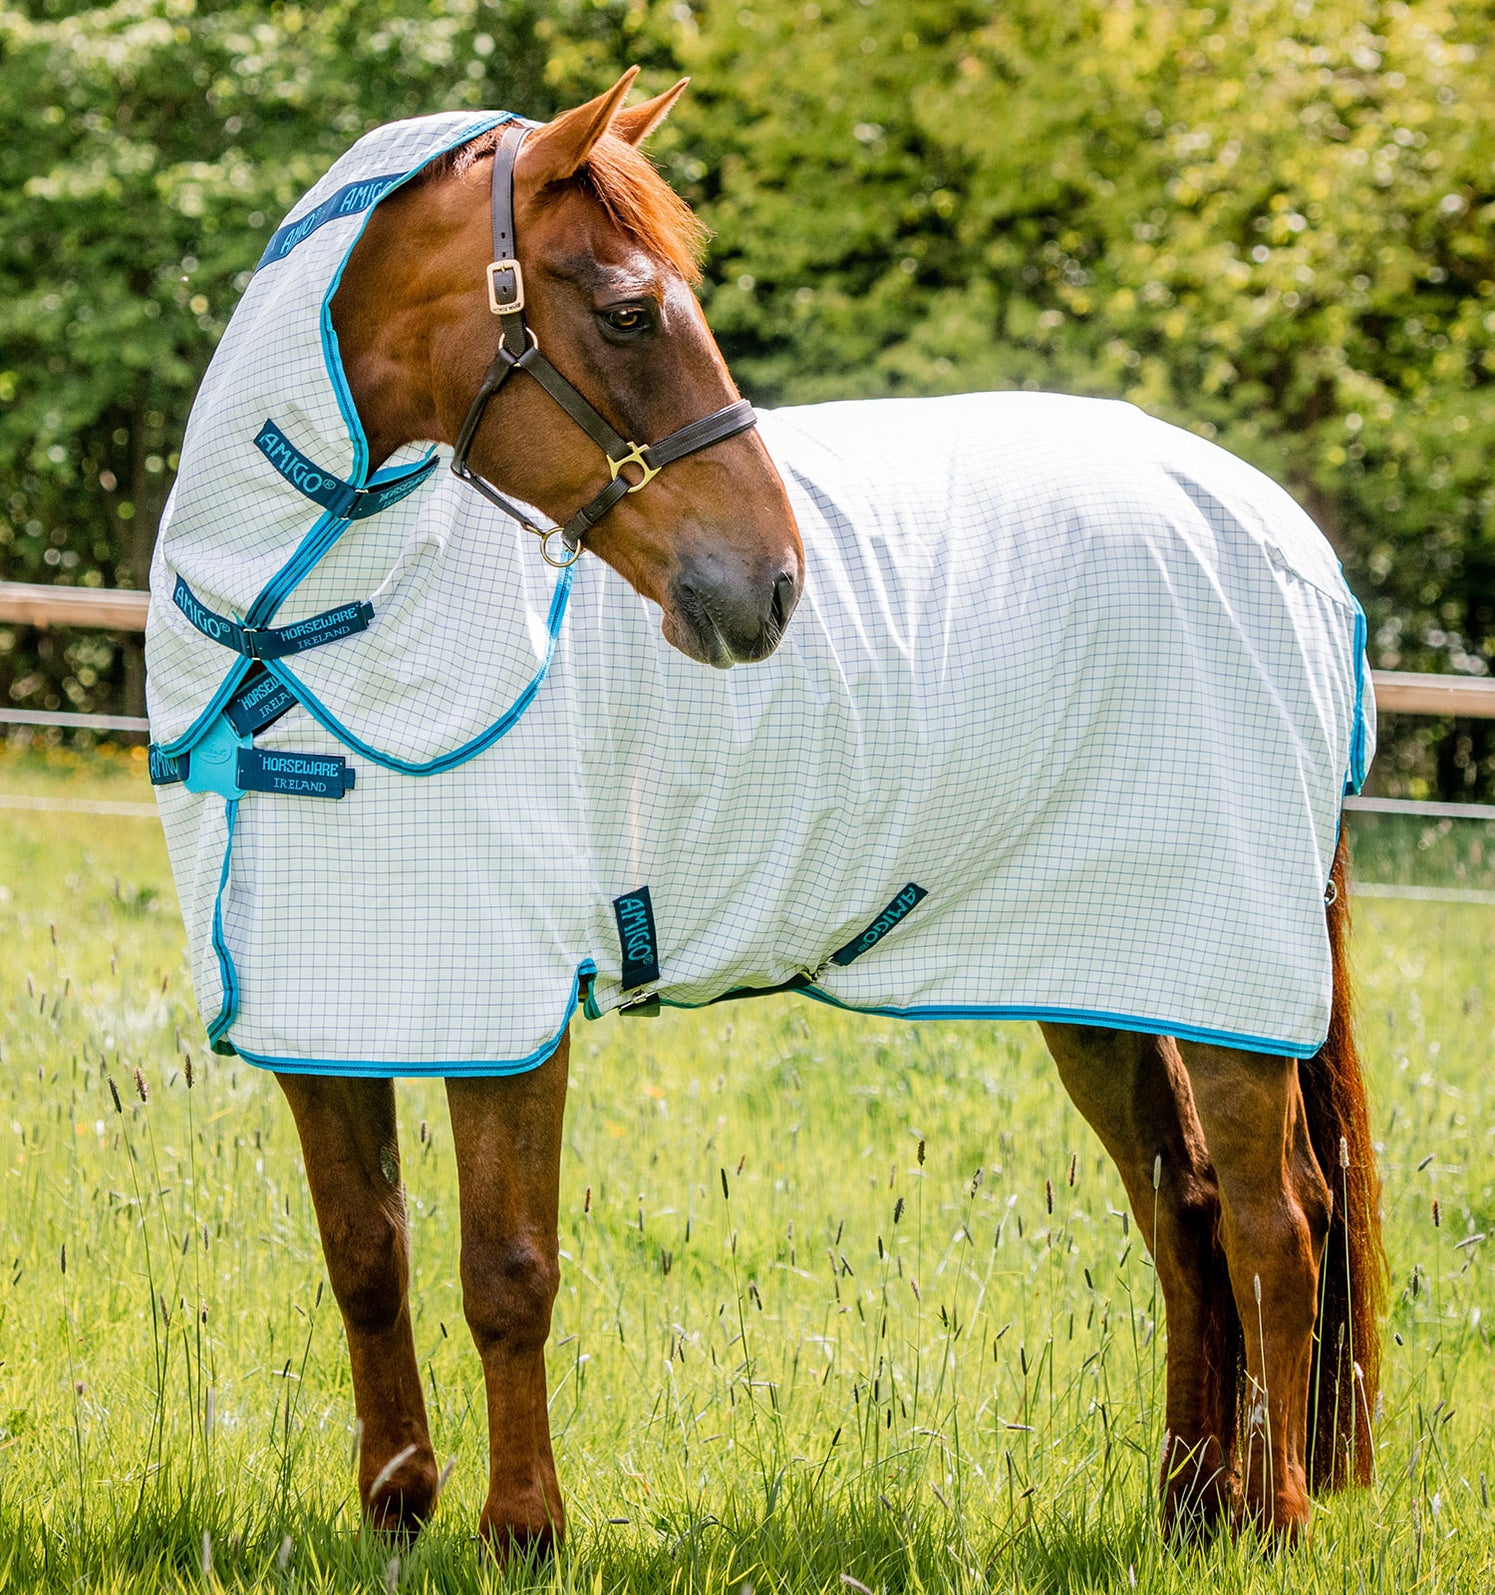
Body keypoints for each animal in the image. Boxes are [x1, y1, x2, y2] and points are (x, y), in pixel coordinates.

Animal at [146, 69, 1383, 1555]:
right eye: (630, 311)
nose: (774, 583)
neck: (292, 642)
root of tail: (1290, 545)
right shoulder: (328, 1015)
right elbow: (365, 1257)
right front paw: (398, 1511)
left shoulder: (510, 1016)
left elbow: (505, 1268)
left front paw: (522, 1529)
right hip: (1102, 974)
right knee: (1183, 1206)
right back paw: (1189, 1506)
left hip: (1227, 975)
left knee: (1275, 1219)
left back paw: (1273, 1518)